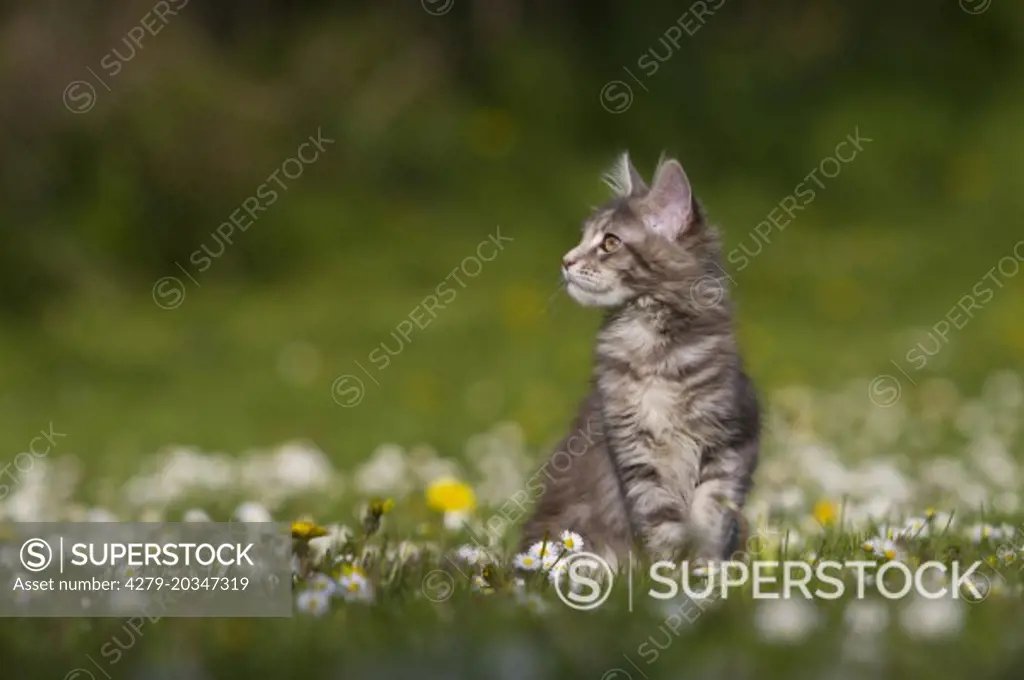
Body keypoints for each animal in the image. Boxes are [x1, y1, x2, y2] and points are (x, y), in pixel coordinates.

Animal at [524, 155, 757, 569]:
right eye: (583, 238)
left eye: (609, 242)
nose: (565, 260)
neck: (650, 343)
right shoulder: (633, 450)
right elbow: (661, 522)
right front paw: (668, 574)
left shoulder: (732, 436)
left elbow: (711, 515)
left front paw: (705, 572)